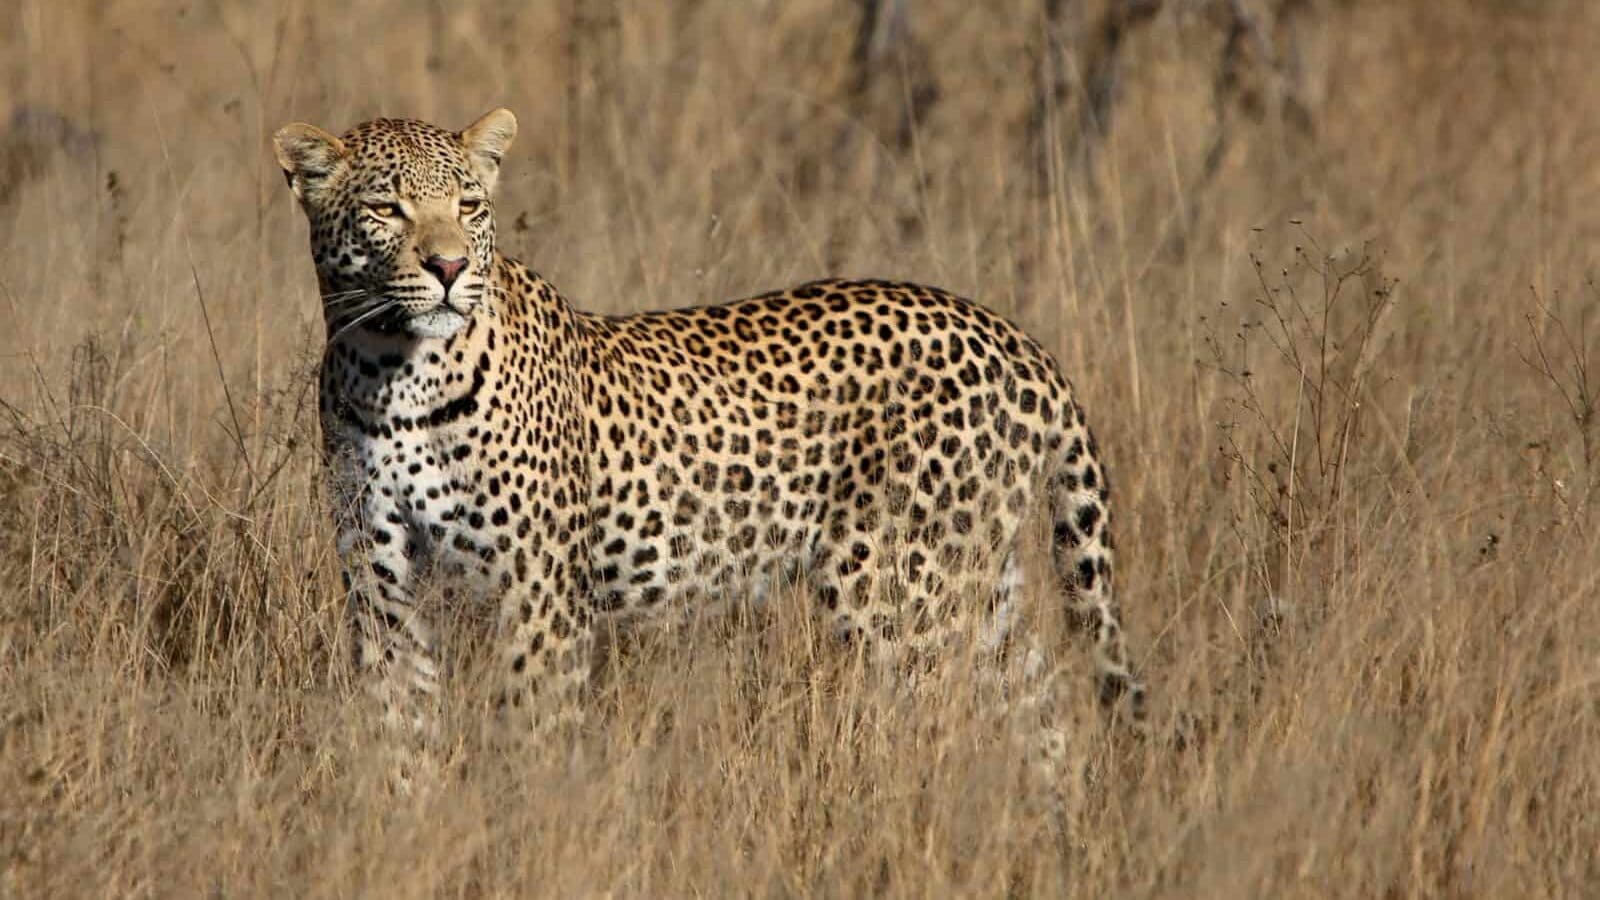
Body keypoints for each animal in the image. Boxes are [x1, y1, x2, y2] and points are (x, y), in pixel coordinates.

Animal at [272, 108, 1145, 759]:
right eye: (387, 209)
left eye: (469, 206)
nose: (450, 268)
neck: (390, 370)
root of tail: (1014, 336)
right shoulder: (384, 593)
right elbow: (400, 739)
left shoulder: (540, 598)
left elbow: (535, 740)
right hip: (977, 578)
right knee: (1040, 711)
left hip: (901, 587)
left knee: (957, 720)